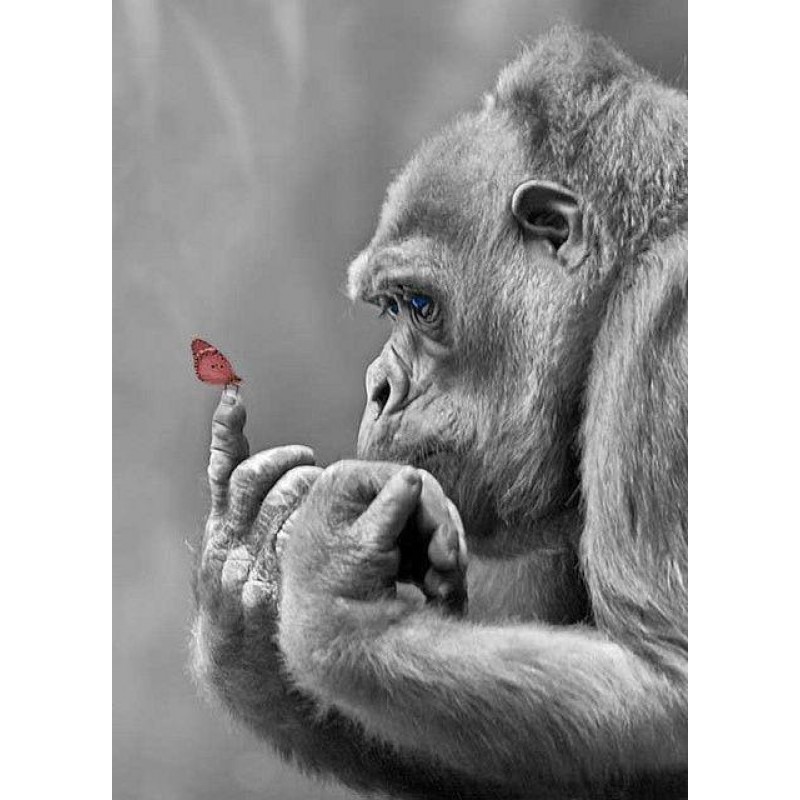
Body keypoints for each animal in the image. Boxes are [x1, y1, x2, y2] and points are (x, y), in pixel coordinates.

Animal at [191, 25, 687, 800]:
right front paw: (244, 579)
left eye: (420, 305)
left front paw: (338, 602)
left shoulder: (668, 316)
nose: (379, 387)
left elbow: (669, 687)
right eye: (388, 308)